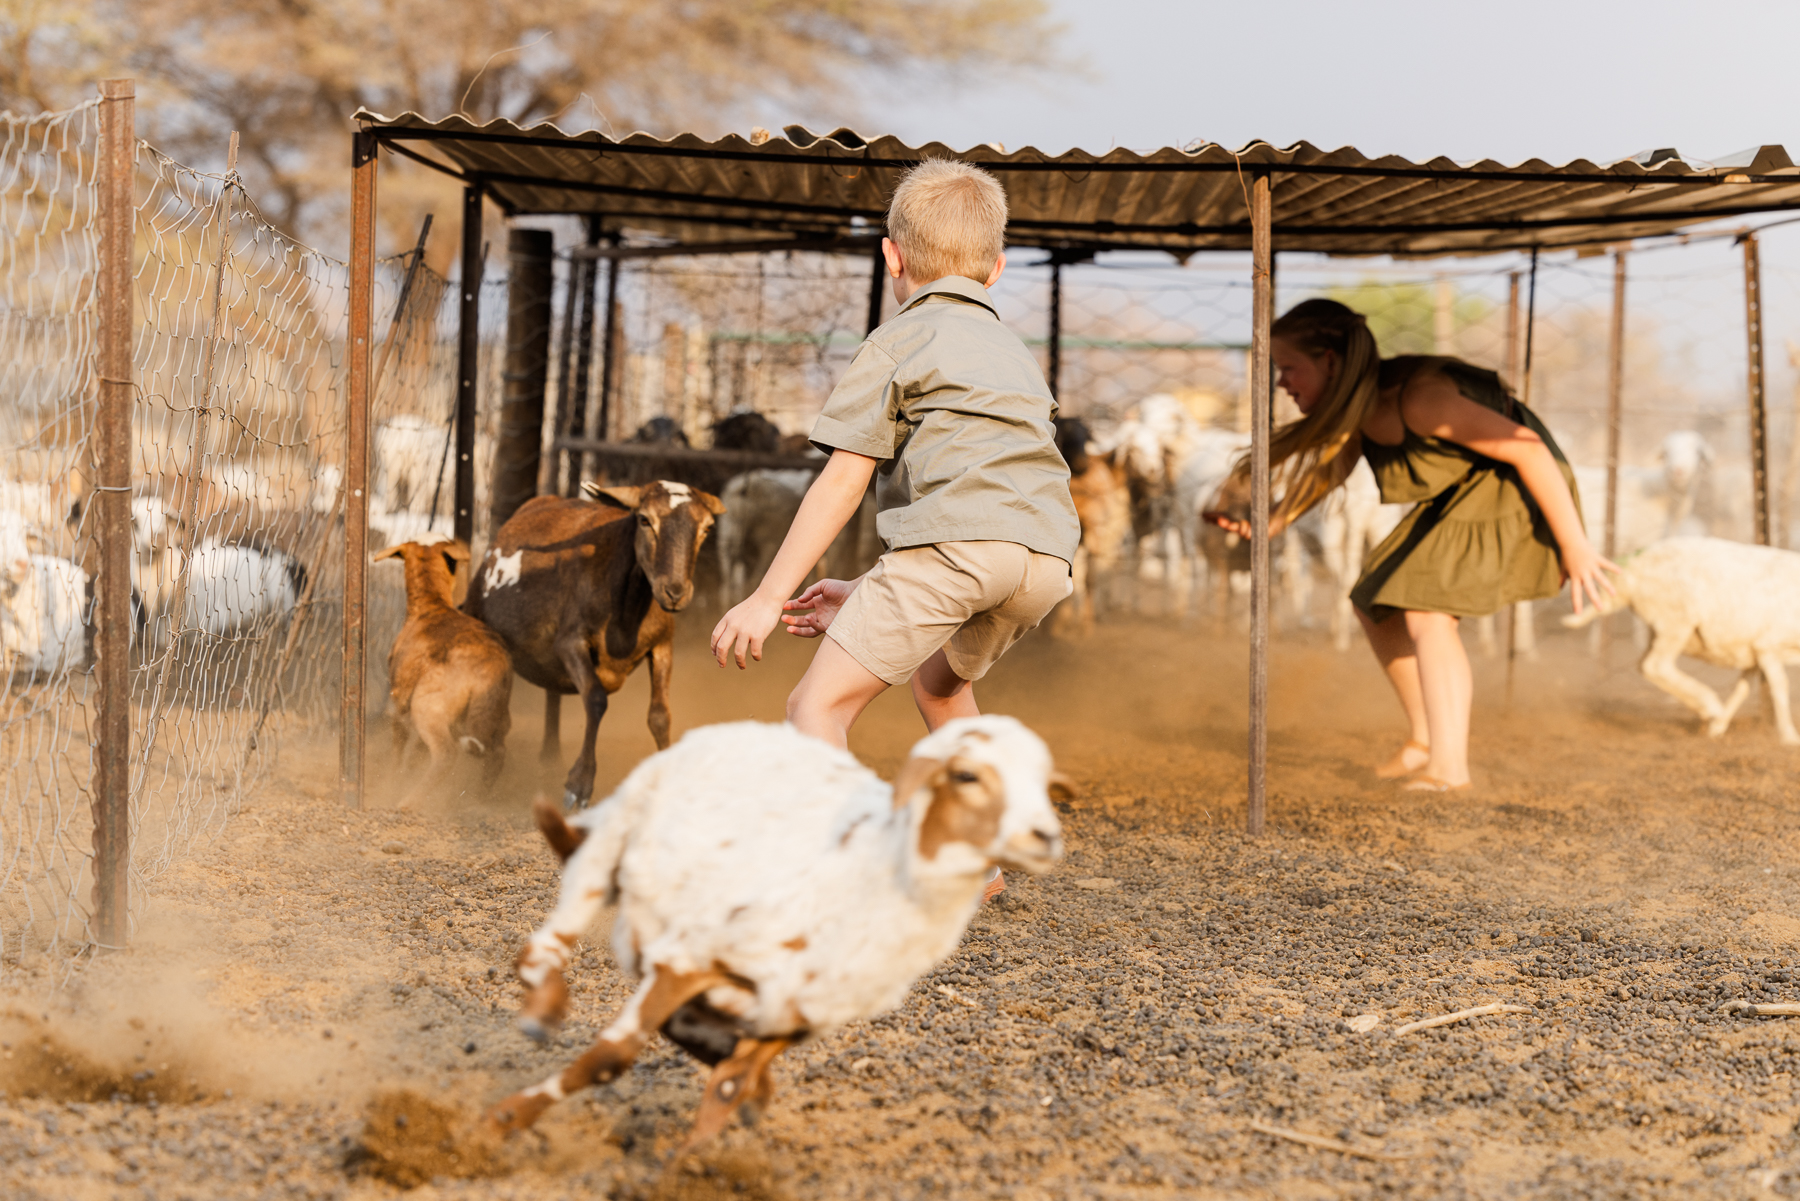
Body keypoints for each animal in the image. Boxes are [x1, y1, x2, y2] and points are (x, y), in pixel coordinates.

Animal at [372, 540, 514, 803]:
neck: (431, 604)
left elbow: (398, 746)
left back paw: (409, 801)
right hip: (496, 713)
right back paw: (478, 798)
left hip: (428, 709)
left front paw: (392, 780)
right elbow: (416, 753)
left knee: (445, 754)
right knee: (497, 753)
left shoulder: (399, 701)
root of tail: (486, 666)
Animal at [464, 475, 723, 806]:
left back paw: (549, 756)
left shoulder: (663, 646)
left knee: (552, 694)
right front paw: (580, 783)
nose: (675, 592)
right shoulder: (570, 643)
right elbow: (596, 700)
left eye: (707, 528)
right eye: (644, 520)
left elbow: (660, 715)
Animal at [482, 713, 1065, 1145]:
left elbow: (728, 1080)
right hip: (616, 838)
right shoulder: (689, 957)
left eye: (1042, 782)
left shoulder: (792, 1013)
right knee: (549, 937)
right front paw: (507, 1118)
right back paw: (540, 1009)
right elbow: (612, 1057)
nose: (1045, 837)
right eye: (966, 776)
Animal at [1562, 536, 1800, 741]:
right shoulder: (1768, 646)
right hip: (1676, 619)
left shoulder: (1753, 653)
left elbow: (1742, 689)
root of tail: (1630, 567)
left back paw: (1710, 710)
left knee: (1646, 666)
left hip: (1660, 626)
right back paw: (1709, 704)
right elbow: (1780, 687)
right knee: (1656, 666)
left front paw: (1717, 728)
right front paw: (1789, 737)